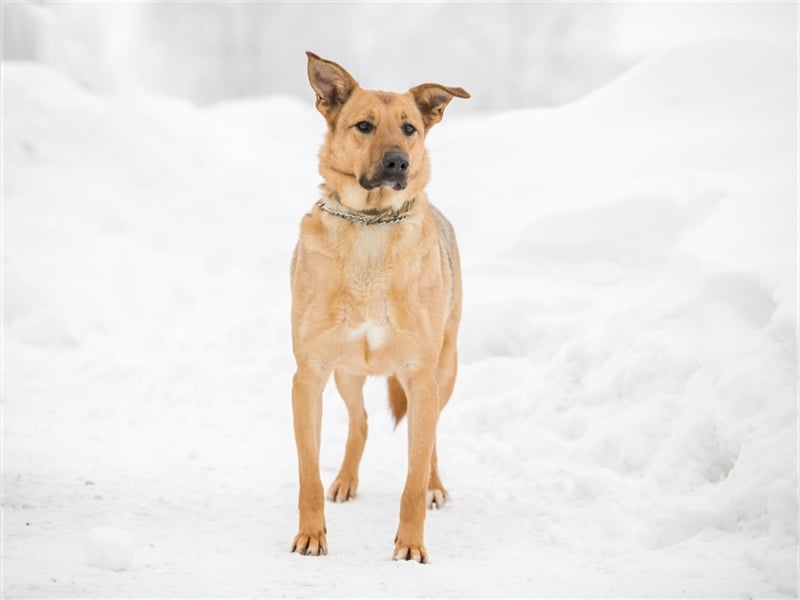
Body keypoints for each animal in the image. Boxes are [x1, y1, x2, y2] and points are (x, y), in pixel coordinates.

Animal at [290, 51, 468, 564]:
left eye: (409, 128)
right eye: (364, 125)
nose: (397, 162)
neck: (371, 222)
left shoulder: (421, 376)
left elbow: (412, 479)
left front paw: (410, 544)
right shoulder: (308, 375)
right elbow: (308, 474)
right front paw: (311, 535)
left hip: (444, 370)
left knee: (429, 441)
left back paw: (435, 486)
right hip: (347, 372)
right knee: (361, 421)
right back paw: (345, 480)